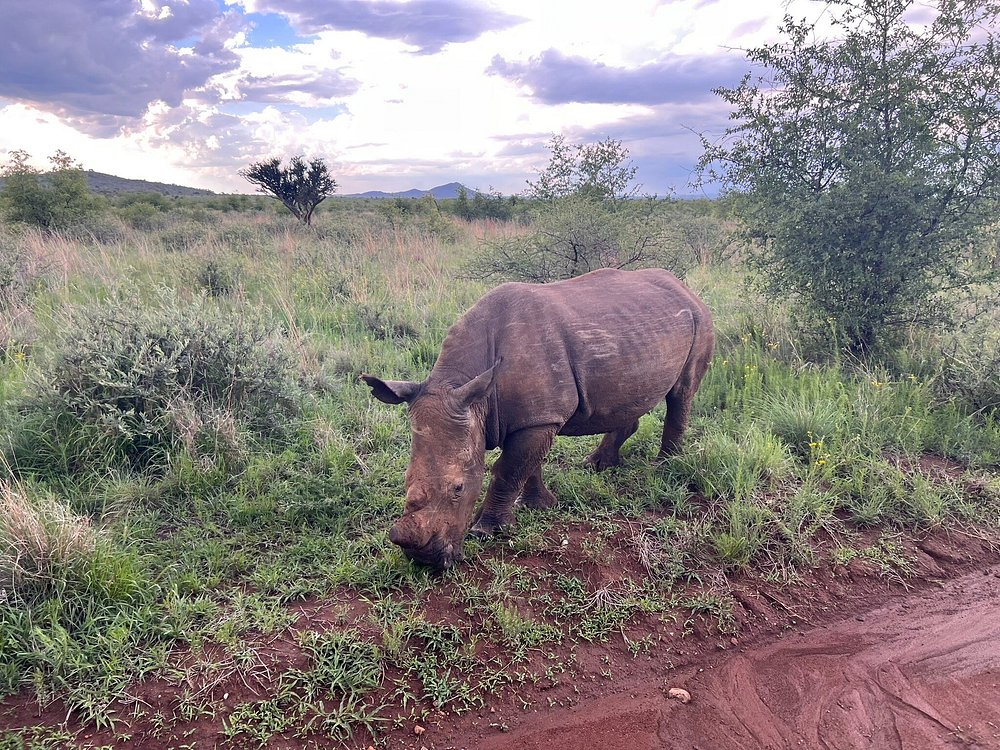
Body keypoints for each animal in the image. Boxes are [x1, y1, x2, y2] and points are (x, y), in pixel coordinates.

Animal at [362, 267, 714, 569]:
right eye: (405, 479)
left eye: (458, 488)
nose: (424, 560)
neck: (466, 389)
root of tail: (685, 287)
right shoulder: (535, 417)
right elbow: (527, 465)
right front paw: (537, 505)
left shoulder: (538, 419)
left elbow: (509, 469)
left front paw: (487, 531)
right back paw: (597, 465)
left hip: (700, 319)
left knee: (681, 393)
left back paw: (663, 467)